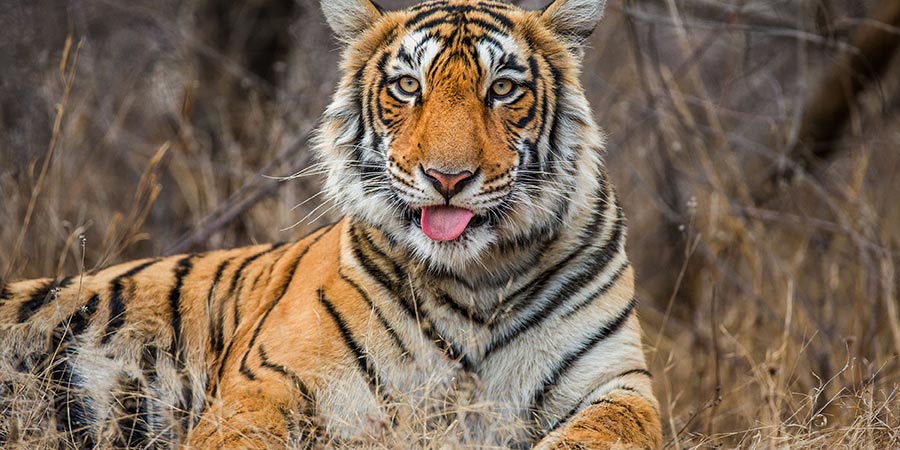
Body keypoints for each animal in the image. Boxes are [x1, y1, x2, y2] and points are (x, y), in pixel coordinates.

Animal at [0, 0, 660, 448]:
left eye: (501, 89)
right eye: (407, 86)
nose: (448, 177)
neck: (475, 279)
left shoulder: (617, 383)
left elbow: (607, 430)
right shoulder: (265, 382)